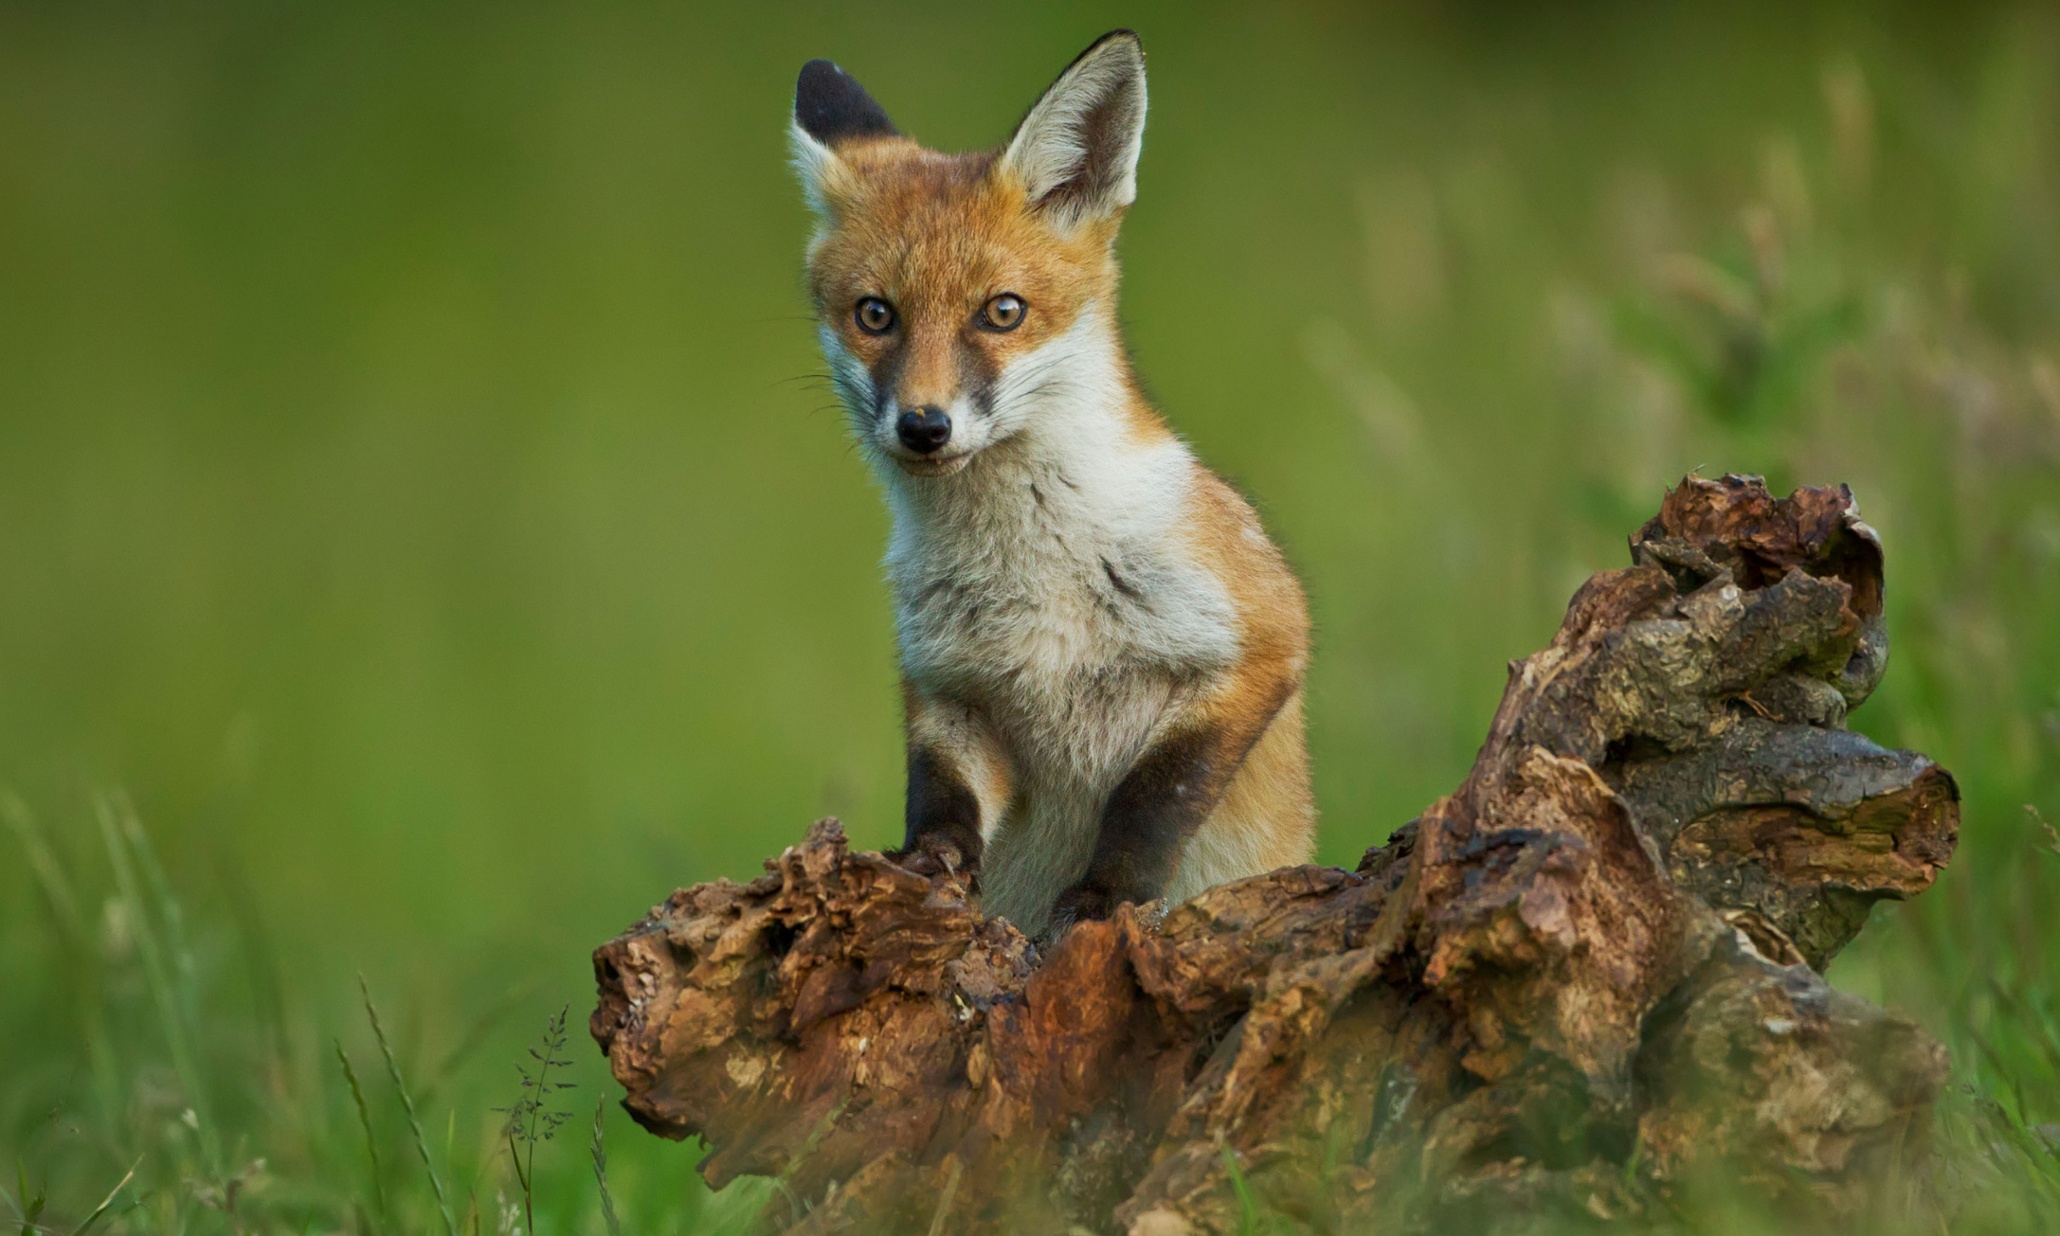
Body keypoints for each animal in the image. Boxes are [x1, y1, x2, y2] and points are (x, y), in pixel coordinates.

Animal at [789, 30, 1314, 939]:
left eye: (1002, 312)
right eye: (876, 315)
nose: (924, 426)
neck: (1030, 575)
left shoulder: (1262, 638)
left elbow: (1151, 798)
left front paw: (1106, 897)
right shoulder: (949, 691)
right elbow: (941, 802)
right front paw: (927, 868)